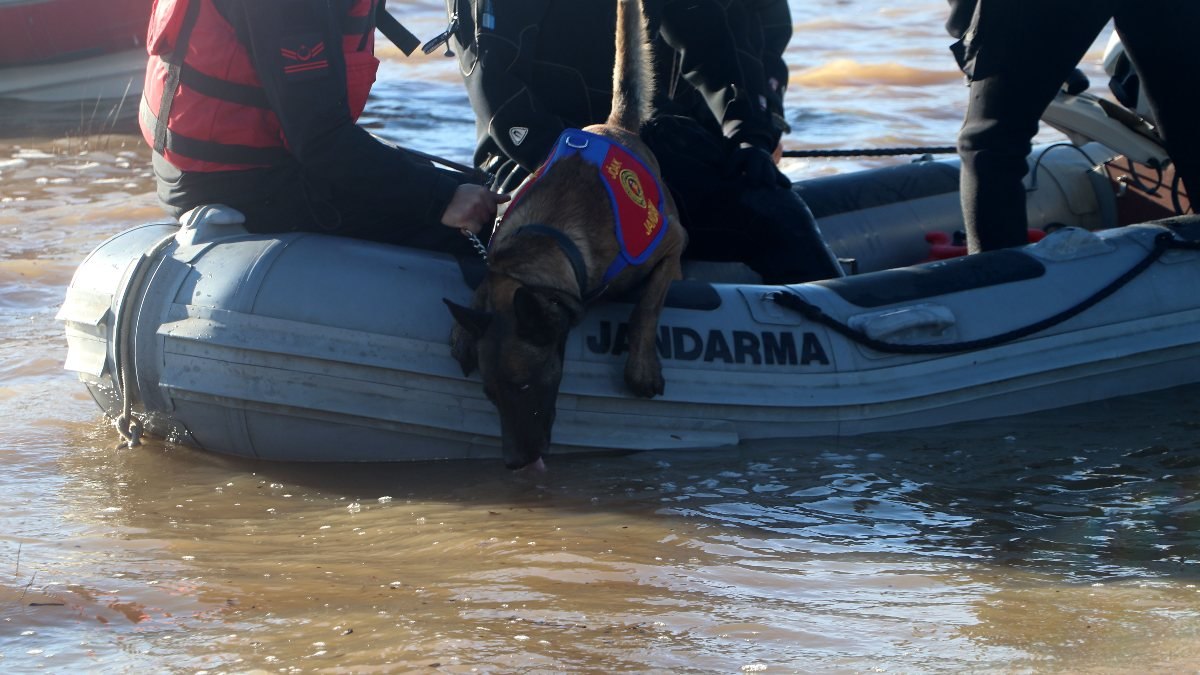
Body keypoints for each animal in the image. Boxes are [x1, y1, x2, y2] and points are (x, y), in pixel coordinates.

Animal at [441, 0, 686, 470]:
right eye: (490, 395)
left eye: (523, 386)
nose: (514, 463)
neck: (548, 241)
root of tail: (614, 125)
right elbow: (484, 281)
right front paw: (465, 328)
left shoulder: (671, 242)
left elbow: (649, 302)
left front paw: (641, 364)